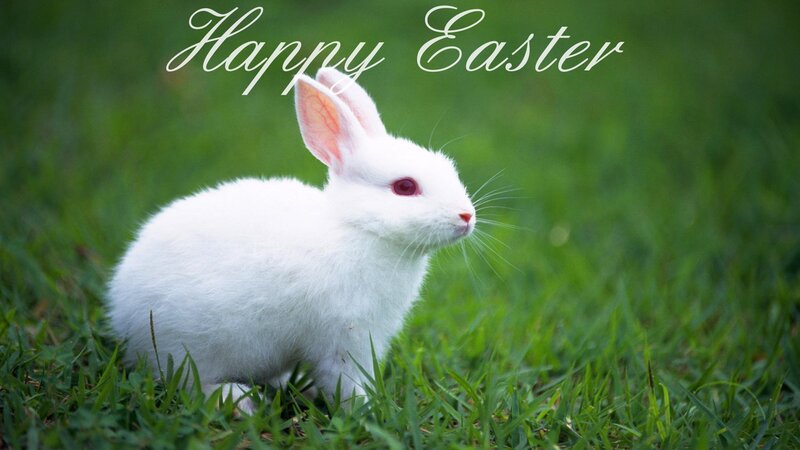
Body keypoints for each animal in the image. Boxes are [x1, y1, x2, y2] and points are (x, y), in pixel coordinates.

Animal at [107, 67, 476, 413]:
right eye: (405, 187)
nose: (466, 216)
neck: (358, 228)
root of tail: (122, 312)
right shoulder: (345, 338)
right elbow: (346, 380)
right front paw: (367, 409)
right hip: (190, 347)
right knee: (189, 382)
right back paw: (239, 400)